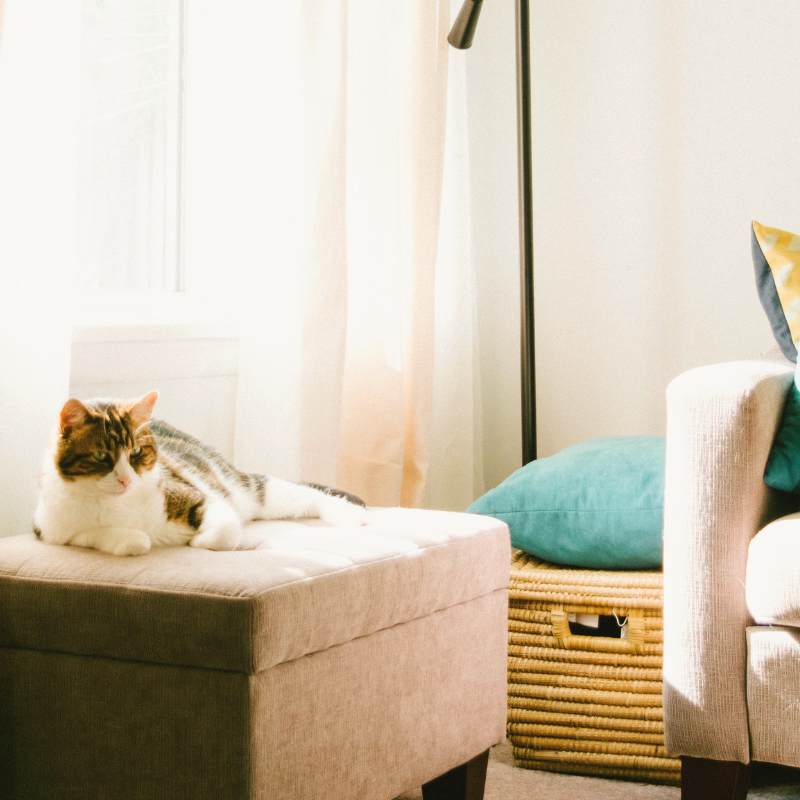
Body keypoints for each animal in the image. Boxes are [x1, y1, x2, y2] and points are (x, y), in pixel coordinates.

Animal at [32, 392, 368, 556]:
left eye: (136, 453)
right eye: (102, 456)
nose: (126, 479)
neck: (117, 504)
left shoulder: (196, 493)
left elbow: (227, 531)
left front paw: (199, 541)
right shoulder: (50, 529)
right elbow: (128, 540)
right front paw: (136, 538)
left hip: (243, 488)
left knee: (304, 494)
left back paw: (353, 516)